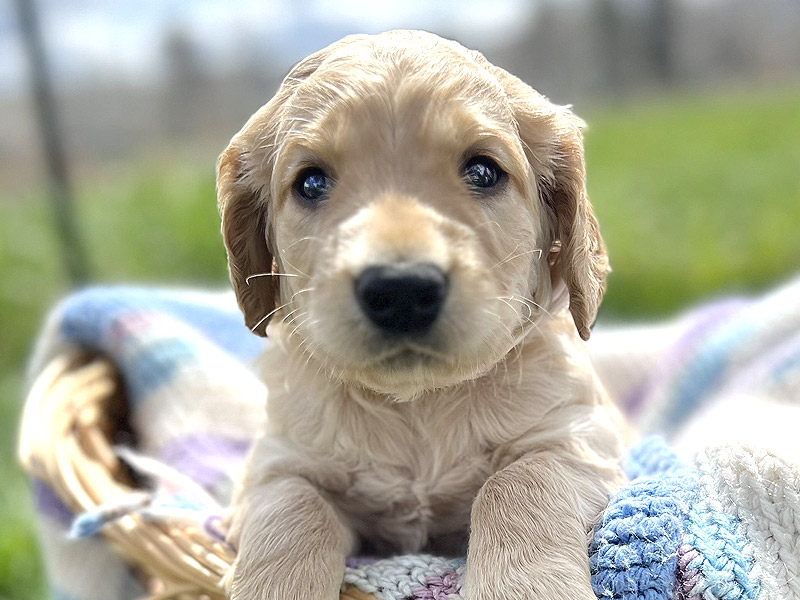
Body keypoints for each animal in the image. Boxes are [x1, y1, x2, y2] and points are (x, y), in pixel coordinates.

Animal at [217, 29, 624, 600]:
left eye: (483, 171)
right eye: (311, 183)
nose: (402, 290)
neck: (419, 406)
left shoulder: (579, 437)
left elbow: (518, 482)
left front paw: (525, 586)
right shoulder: (276, 462)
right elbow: (292, 511)